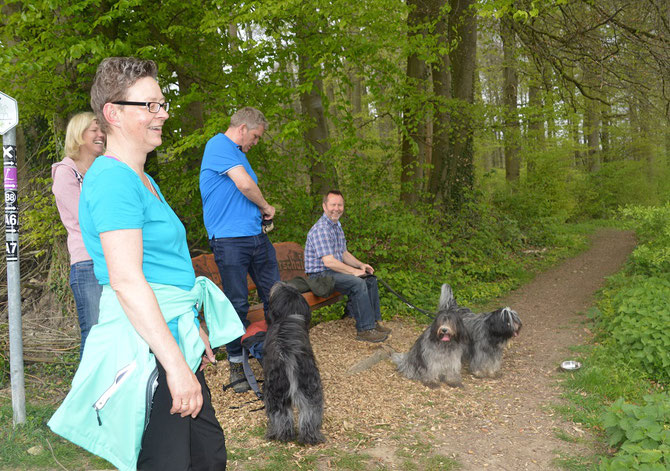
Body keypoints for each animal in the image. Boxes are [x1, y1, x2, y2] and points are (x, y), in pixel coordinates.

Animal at [262, 284, 326, 446]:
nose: (277, 284)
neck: (288, 315)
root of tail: (288, 356)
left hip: (276, 391)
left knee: (282, 415)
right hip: (307, 386)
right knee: (307, 412)